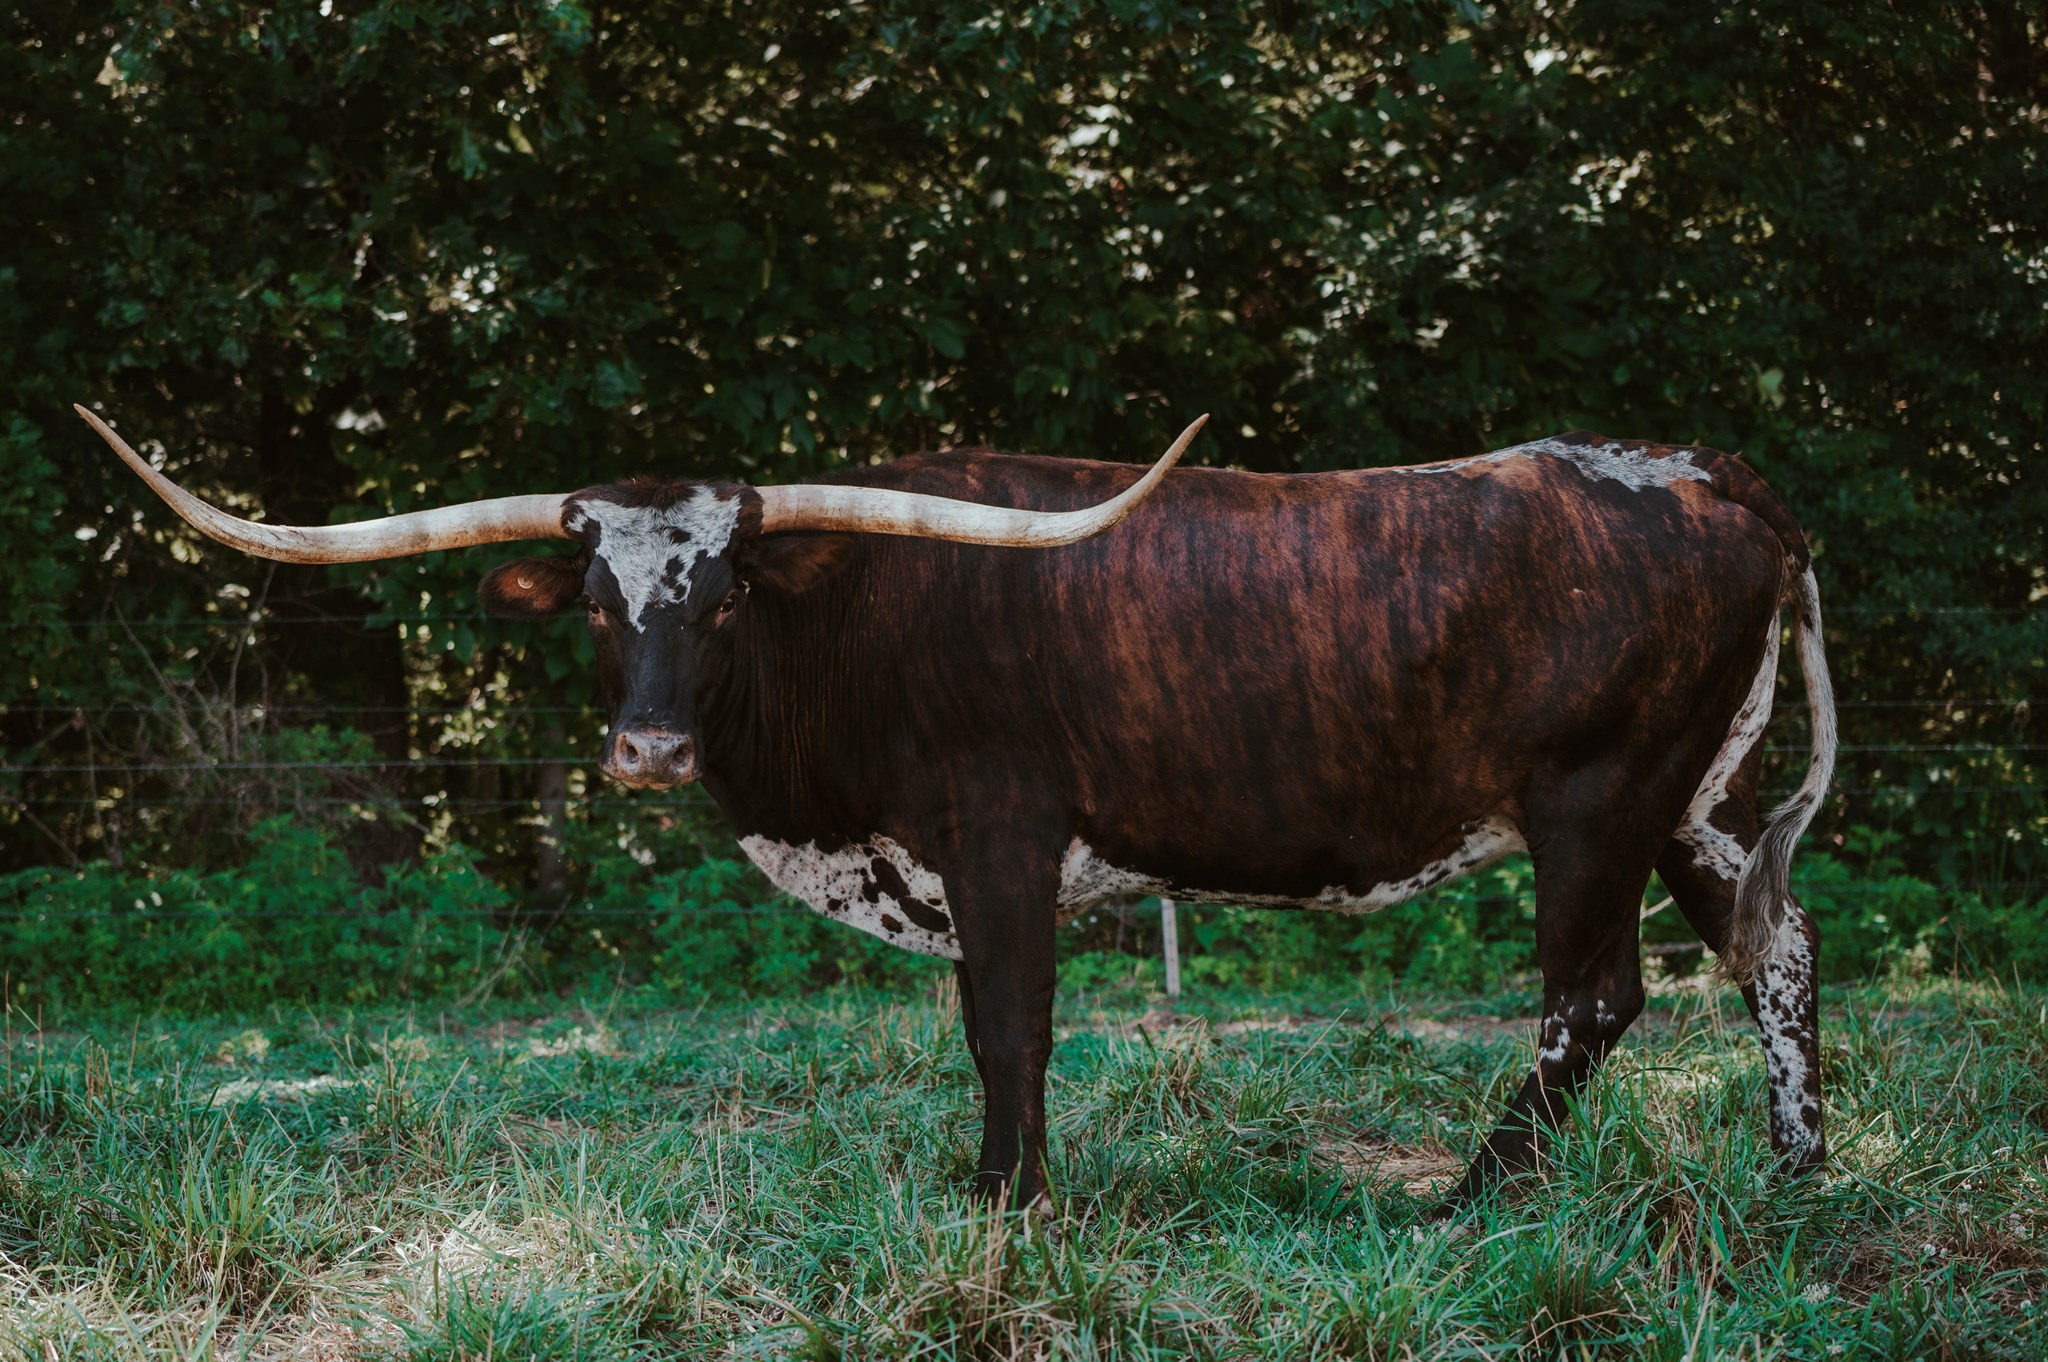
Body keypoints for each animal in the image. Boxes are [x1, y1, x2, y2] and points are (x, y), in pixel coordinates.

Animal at [81, 403, 1836, 1212]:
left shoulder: (1002, 835)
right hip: (1699, 794)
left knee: (1592, 994)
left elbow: (1010, 1024)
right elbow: (986, 1027)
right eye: (593, 598)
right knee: (1777, 943)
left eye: (723, 594)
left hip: (1596, 800)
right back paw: (1799, 1172)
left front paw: (1009, 1201)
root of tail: (1705, 472)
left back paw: (1470, 1200)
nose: (644, 751)